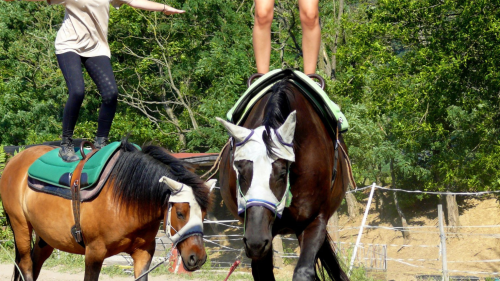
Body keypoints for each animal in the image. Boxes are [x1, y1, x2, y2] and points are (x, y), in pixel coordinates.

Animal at [0, 140, 212, 280]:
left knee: (35, 263)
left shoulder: (144, 253)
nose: (197, 258)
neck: (125, 198)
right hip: (21, 227)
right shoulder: (94, 253)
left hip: (46, 237)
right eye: (180, 213)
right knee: (26, 266)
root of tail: (15, 160)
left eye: (203, 214)